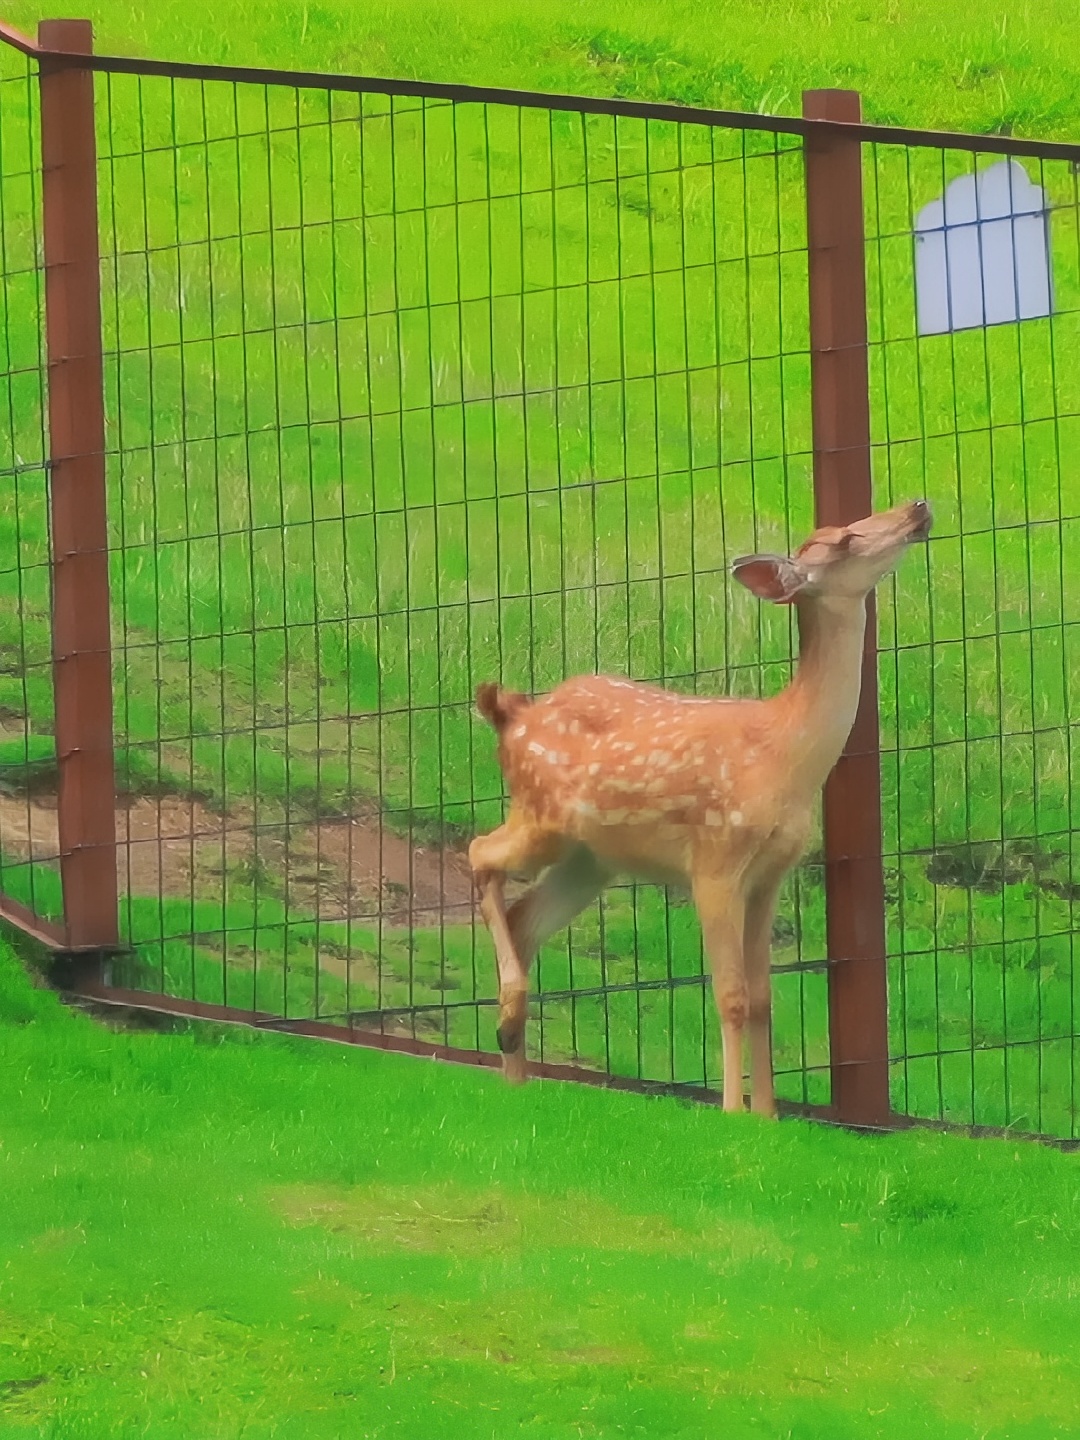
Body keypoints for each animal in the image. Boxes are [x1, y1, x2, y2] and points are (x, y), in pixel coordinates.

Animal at [469, 501, 933, 1117]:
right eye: (845, 540)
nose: (916, 508)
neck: (783, 758)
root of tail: (511, 715)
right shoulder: (714, 859)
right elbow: (731, 995)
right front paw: (733, 1112)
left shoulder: (771, 874)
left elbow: (762, 999)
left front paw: (768, 1115)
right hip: (541, 816)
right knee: (479, 851)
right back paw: (509, 1018)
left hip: (592, 860)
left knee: (524, 918)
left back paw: (515, 1071)